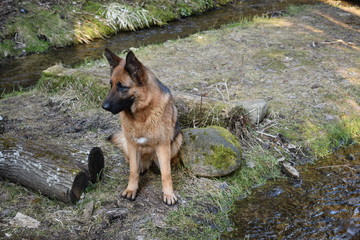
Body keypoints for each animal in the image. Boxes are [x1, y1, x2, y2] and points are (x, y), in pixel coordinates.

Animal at [102, 49, 183, 206]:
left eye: (122, 86)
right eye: (111, 85)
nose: (104, 107)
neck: (141, 115)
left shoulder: (163, 146)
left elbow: (166, 173)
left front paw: (168, 194)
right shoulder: (132, 145)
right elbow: (133, 171)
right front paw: (131, 189)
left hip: (178, 139)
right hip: (127, 144)